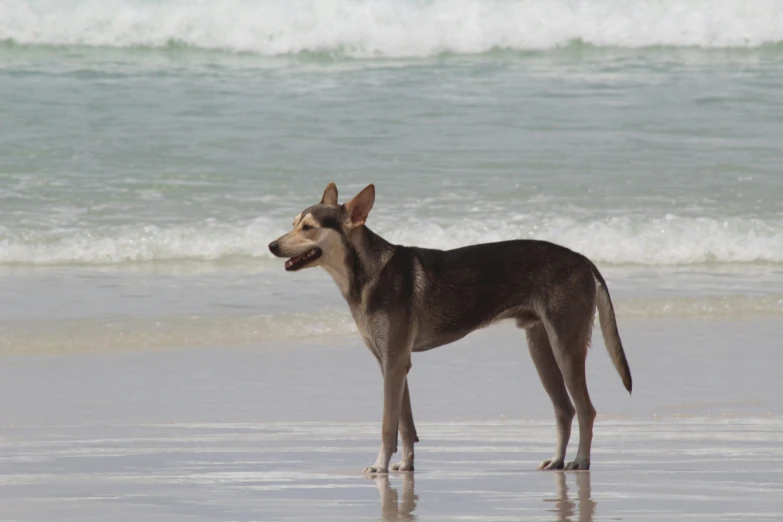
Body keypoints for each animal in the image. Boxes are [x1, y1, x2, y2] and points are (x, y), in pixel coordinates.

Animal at [268, 183, 632, 472]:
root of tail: (582, 259)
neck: (366, 275)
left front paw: (380, 465)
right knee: (565, 410)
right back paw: (557, 460)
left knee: (586, 410)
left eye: (308, 228)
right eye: (293, 224)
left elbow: (387, 426)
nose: (271, 246)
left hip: (566, 348)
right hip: (541, 349)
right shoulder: (393, 364)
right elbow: (405, 425)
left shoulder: (394, 363)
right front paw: (405, 466)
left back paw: (581, 460)